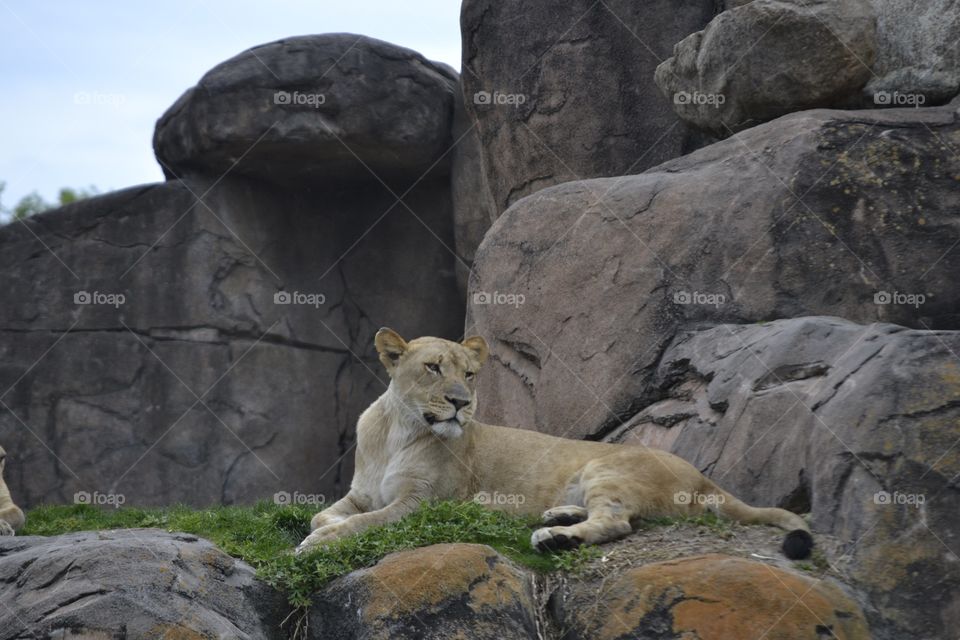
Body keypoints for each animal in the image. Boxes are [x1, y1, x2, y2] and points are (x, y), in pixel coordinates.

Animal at [297, 329, 813, 559]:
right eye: (433, 368)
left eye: (470, 373)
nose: (462, 403)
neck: (399, 430)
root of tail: (704, 477)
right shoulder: (361, 492)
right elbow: (325, 513)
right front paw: (321, 528)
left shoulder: (422, 502)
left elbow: (363, 524)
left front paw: (317, 543)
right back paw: (557, 516)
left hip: (607, 468)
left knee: (617, 522)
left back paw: (554, 537)